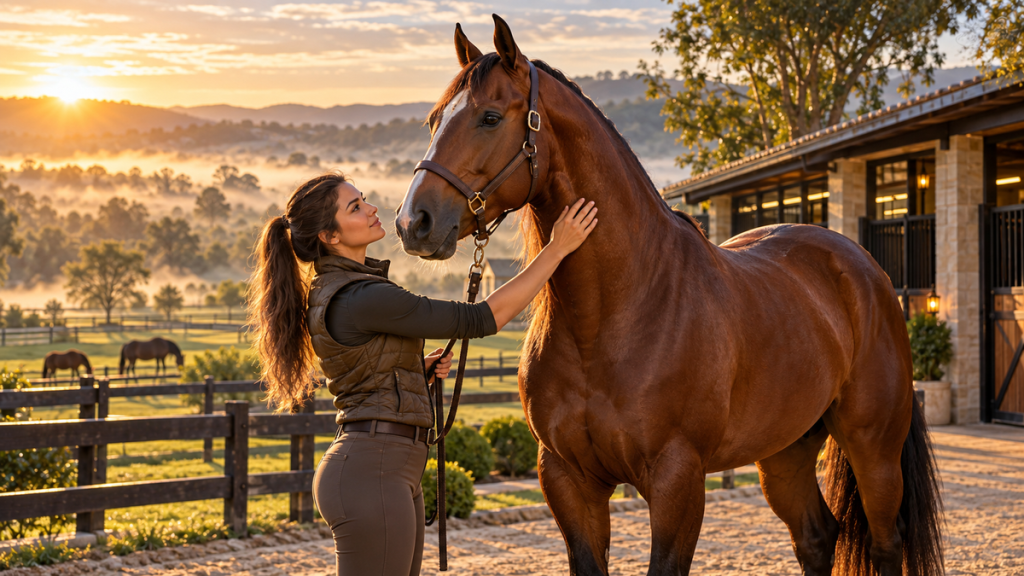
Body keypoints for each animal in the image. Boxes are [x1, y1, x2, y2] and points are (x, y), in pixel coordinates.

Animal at [395, 16, 943, 576]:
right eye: (434, 120)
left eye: (488, 117)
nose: (413, 222)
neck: (615, 315)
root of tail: (866, 270)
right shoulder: (568, 479)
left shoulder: (677, 479)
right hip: (785, 450)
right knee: (816, 536)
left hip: (873, 447)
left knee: (884, 542)